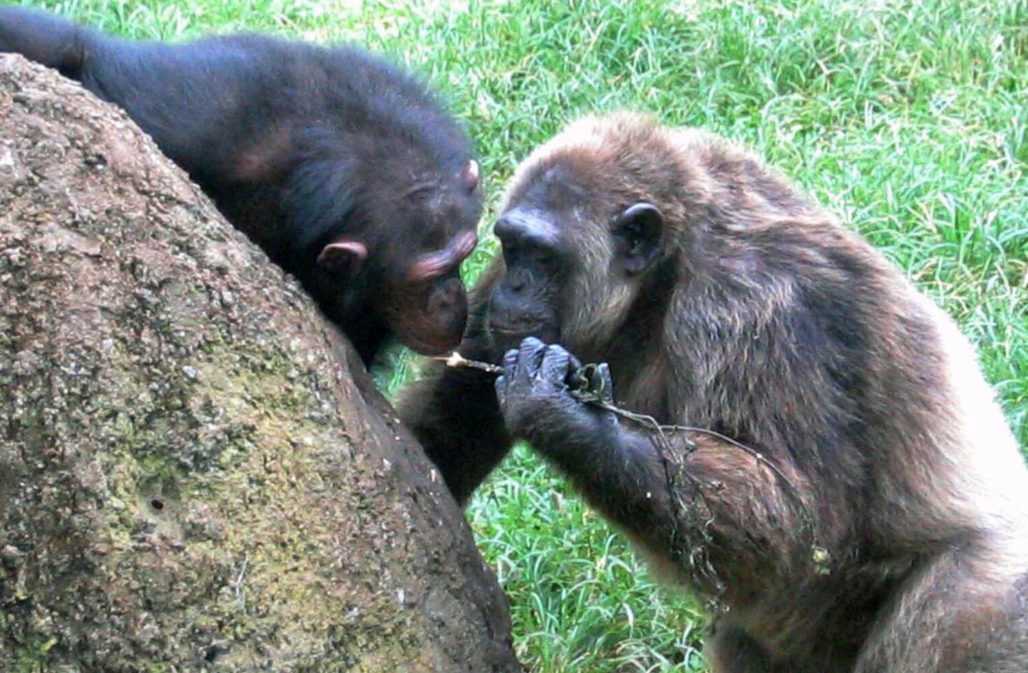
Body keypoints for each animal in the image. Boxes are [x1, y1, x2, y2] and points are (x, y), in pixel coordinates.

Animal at [398, 113, 1028, 669]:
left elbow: (794, 510)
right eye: (510, 246)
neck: (661, 278)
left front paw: (563, 412)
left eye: (543, 255)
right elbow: (455, 424)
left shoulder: (754, 306)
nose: (513, 287)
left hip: (979, 602)